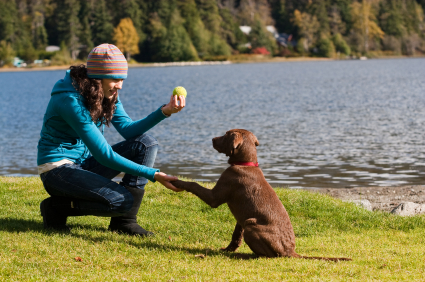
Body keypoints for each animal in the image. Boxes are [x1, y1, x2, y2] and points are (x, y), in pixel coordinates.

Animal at [171, 129, 350, 262]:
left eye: (225, 135)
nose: (212, 139)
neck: (246, 164)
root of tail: (290, 251)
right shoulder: (241, 218)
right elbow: (236, 234)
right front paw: (228, 249)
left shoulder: (215, 196)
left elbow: (194, 185)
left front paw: (178, 181)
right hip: (248, 221)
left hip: (252, 225)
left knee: (269, 256)